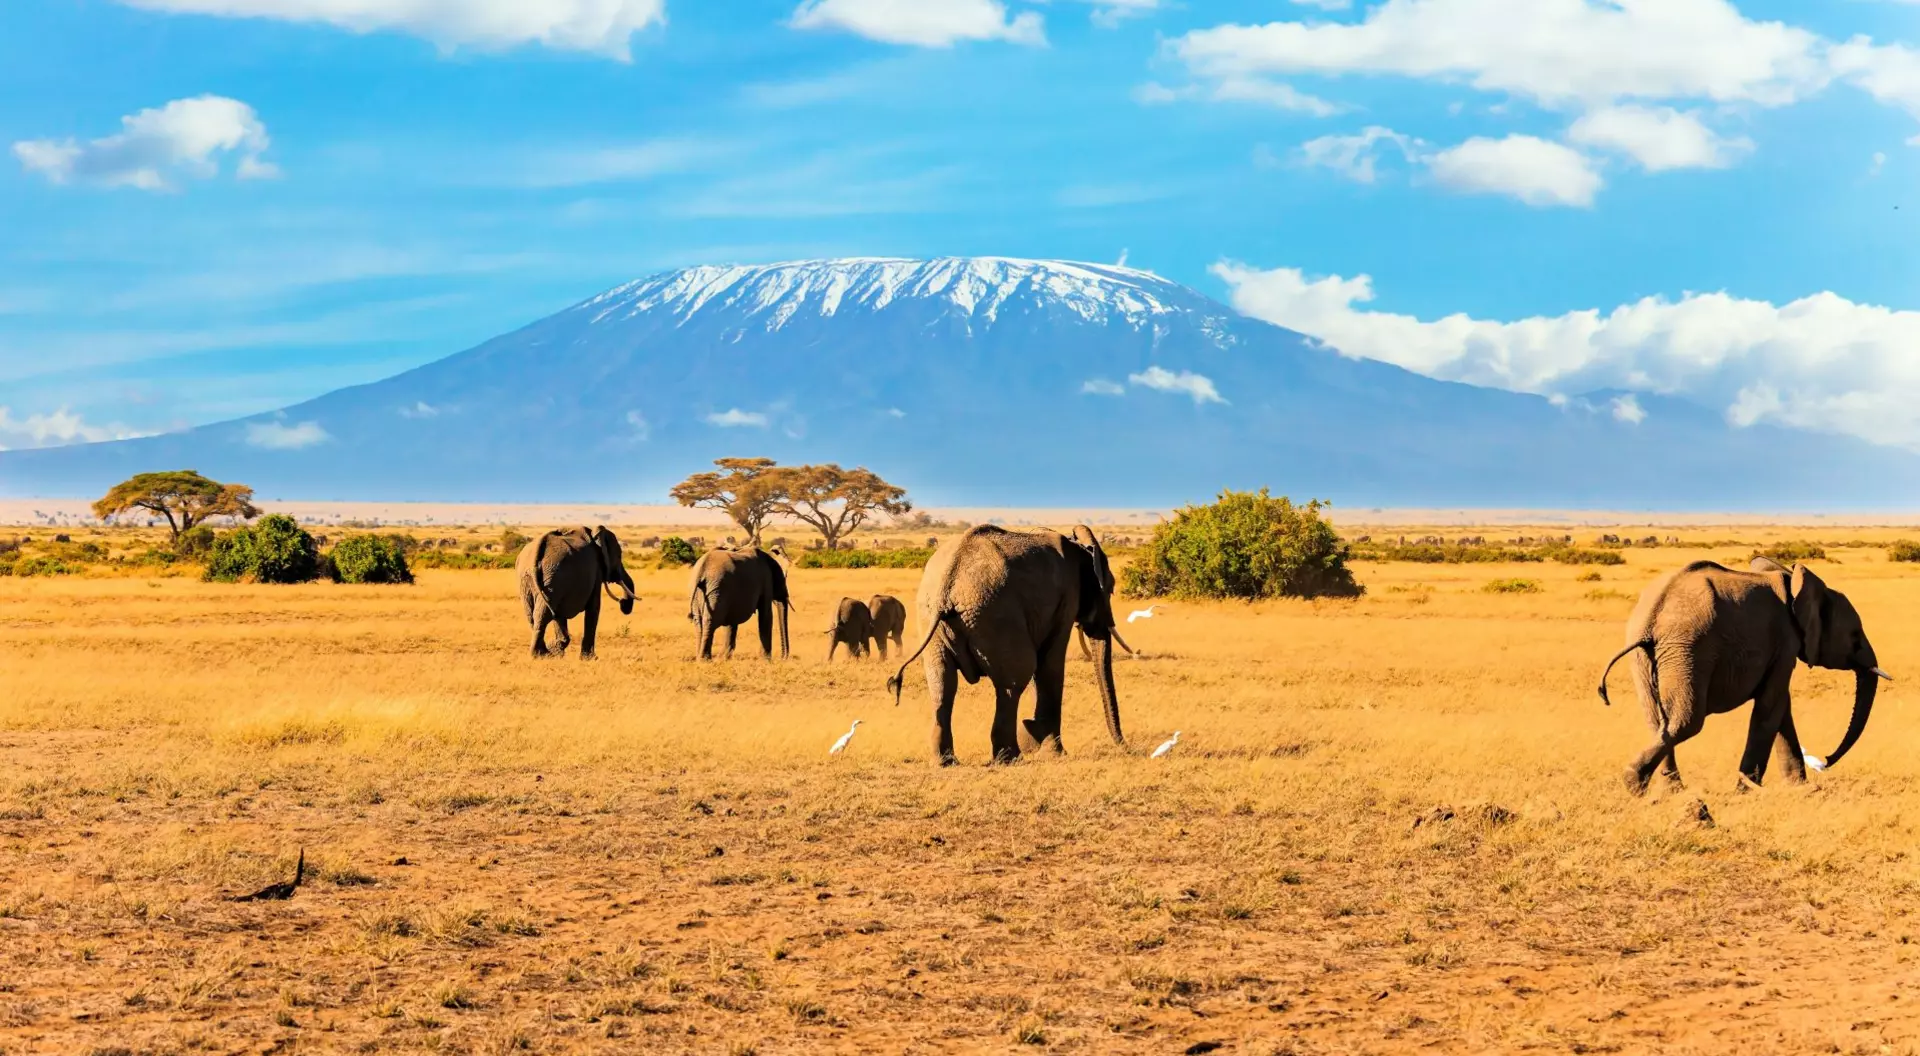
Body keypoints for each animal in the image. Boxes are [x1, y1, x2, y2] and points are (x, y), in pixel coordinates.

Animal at [516, 526, 637, 660]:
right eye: (619, 556)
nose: (622, 602)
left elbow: (560, 615)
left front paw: (557, 649)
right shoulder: (596, 571)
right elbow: (594, 608)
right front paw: (590, 659)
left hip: (531, 579)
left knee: (535, 615)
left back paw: (545, 653)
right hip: (552, 575)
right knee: (543, 614)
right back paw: (542, 655)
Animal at [887, 524, 1124, 765]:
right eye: (1111, 589)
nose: (1123, 746)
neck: (1078, 546)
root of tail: (948, 584)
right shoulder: (1067, 598)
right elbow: (1049, 664)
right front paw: (1053, 753)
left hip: (932, 619)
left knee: (942, 682)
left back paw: (946, 762)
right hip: (995, 615)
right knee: (1013, 681)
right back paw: (1010, 759)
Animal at [1598, 556, 1889, 795]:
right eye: (1855, 636)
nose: (1826, 760)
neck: (1793, 581)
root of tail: (1651, 617)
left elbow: (1780, 709)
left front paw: (1799, 788)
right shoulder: (1786, 640)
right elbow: (1771, 707)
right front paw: (1747, 790)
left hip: (1651, 654)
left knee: (1656, 720)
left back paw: (1668, 791)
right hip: (1688, 648)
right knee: (1686, 721)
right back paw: (1635, 782)